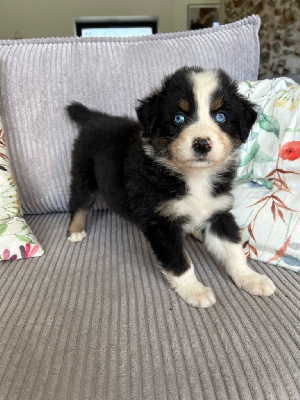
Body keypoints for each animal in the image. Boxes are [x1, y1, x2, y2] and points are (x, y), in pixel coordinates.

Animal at [67, 67, 276, 308]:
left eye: (221, 117)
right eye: (179, 118)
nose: (202, 144)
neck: (194, 177)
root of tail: (97, 117)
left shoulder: (218, 212)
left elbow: (233, 251)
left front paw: (251, 278)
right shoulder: (162, 221)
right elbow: (180, 262)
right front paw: (195, 291)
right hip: (84, 174)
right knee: (79, 203)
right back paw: (75, 231)